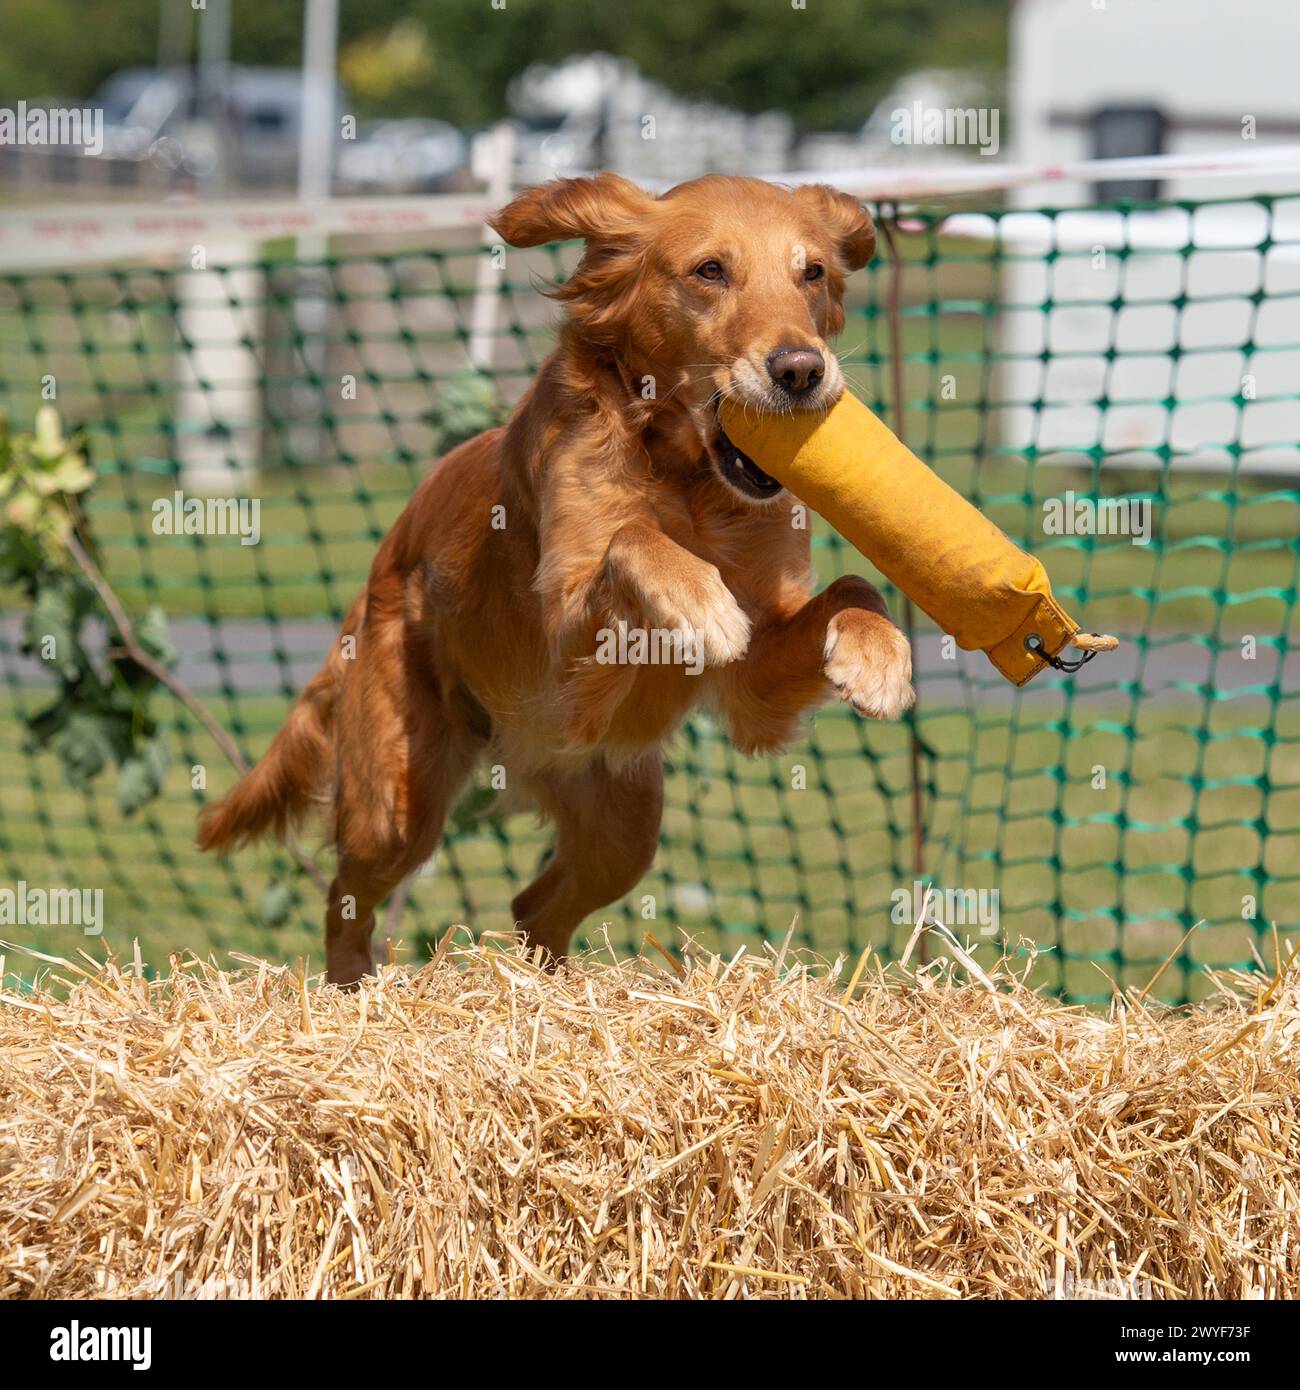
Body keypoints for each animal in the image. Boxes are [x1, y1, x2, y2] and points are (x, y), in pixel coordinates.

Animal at [202, 173, 917, 984]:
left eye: (813, 273)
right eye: (710, 271)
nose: (801, 371)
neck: (686, 479)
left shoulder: (754, 680)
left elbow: (854, 587)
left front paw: (878, 656)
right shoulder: (561, 649)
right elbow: (630, 539)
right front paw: (697, 599)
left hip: (623, 824)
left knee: (534, 905)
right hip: (396, 801)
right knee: (344, 895)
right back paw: (351, 990)